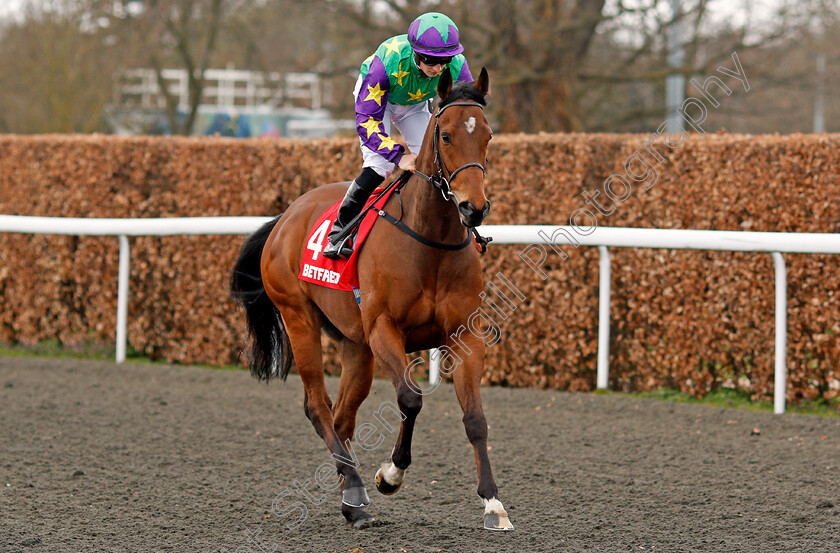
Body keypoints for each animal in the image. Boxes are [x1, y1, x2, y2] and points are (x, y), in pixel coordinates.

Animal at [233, 68, 516, 532]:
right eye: (447, 136)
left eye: (489, 136)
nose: (474, 208)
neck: (430, 241)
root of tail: (286, 216)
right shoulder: (385, 329)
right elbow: (410, 399)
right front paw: (390, 475)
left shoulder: (463, 335)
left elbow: (475, 419)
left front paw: (493, 503)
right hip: (300, 319)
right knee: (318, 407)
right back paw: (357, 490)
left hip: (356, 346)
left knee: (342, 417)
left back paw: (352, 500)